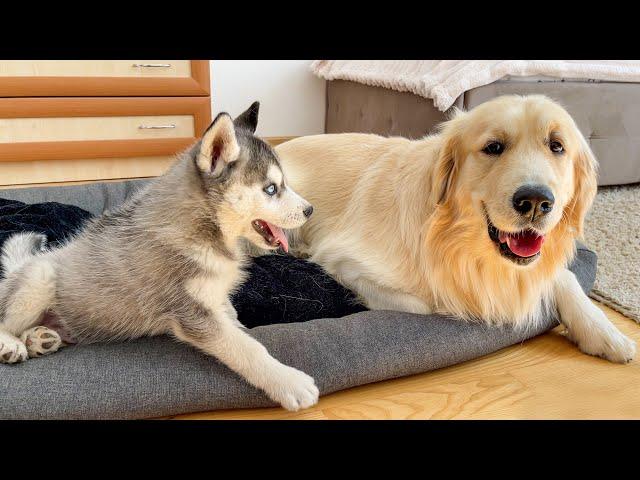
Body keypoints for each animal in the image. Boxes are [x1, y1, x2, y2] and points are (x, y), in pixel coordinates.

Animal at [0, 103, 320, 410]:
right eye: (271, 189)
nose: (310, 210)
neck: (205, 228)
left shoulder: (213, 297)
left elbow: (233, 320)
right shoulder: (191, 313)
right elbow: (245, 347)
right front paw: (289, 382)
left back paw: (38, 339)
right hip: (38, 278)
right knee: (4, 321)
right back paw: (12, 345)